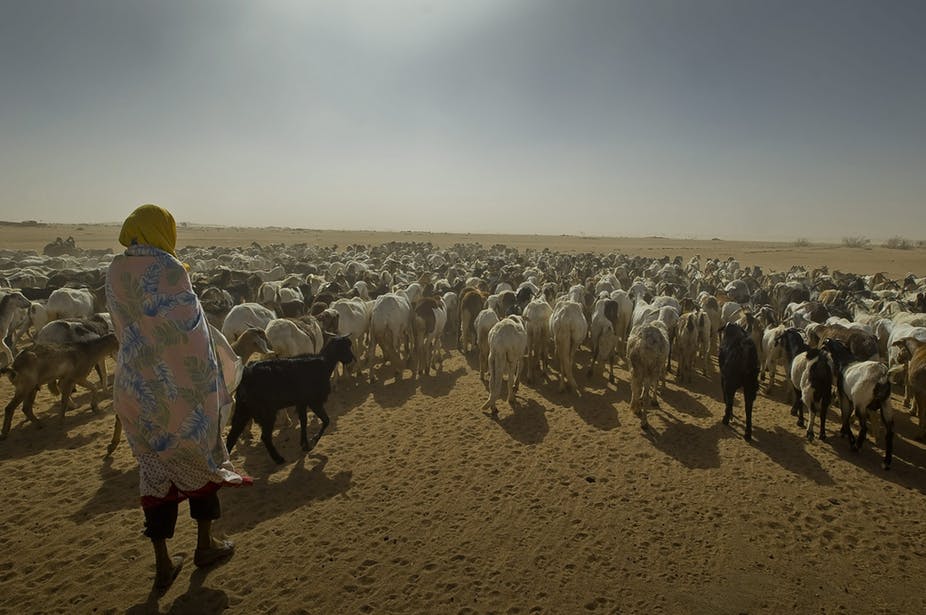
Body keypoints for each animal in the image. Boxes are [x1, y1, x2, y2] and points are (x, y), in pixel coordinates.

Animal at [226, 336, 356, 462]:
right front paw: (313, 441)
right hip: (266, 412)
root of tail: (246, 374)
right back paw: (278, 459)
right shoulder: (314, 401)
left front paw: (305, 444)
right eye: (345, 348)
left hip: (243, 409)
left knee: (232, 437)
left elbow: (304, 421)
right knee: (265, 436)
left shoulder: (301, 403)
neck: (323, 364)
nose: (351, 359)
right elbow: (326, 420)